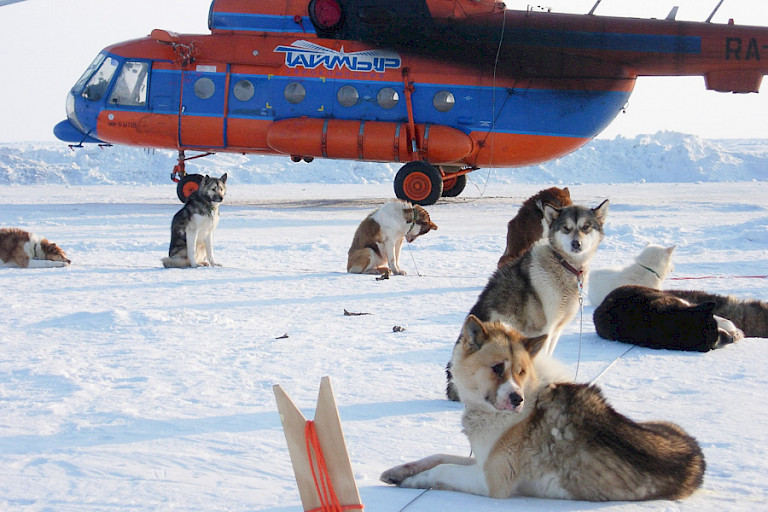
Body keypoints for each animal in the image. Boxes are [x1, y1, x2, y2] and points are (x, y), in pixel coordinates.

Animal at [448, 199, 608, 400]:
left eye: (586, 227)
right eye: (566, 228)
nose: (576, 244)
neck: (563, 264)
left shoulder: (556, 329)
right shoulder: (544, 327)